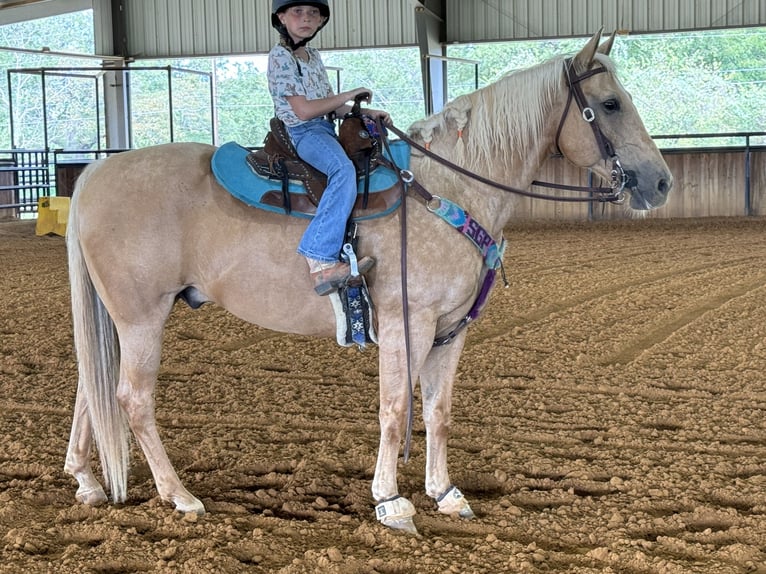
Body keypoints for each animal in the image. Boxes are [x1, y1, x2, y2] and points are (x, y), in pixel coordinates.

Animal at [63, 30, 676, 536]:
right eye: (611, 103)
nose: (661, 182)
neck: (448, 187)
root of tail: (95, 174)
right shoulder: (410, 322)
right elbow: (395, 409)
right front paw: (391, 502)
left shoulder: (451, 330)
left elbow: (437, 413)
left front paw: (446, 494)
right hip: (143, 316)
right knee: (131, 398)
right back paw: (180, 496)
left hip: (119, 318)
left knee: (91, 389)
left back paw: (87, 482)